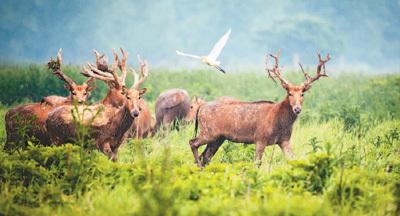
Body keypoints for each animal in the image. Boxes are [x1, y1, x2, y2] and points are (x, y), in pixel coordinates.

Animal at [189, 50, 330, 167]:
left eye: (302, 94)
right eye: (289, 93)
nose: (297, 109)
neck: (279, 122)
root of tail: (201, 108)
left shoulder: (285, 140)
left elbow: (293, 160)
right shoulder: (260, 138)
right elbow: (257, 164)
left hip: (218, 137)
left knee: (206, 156)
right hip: (208, 131)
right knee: (193, 143)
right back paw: (199, 167)